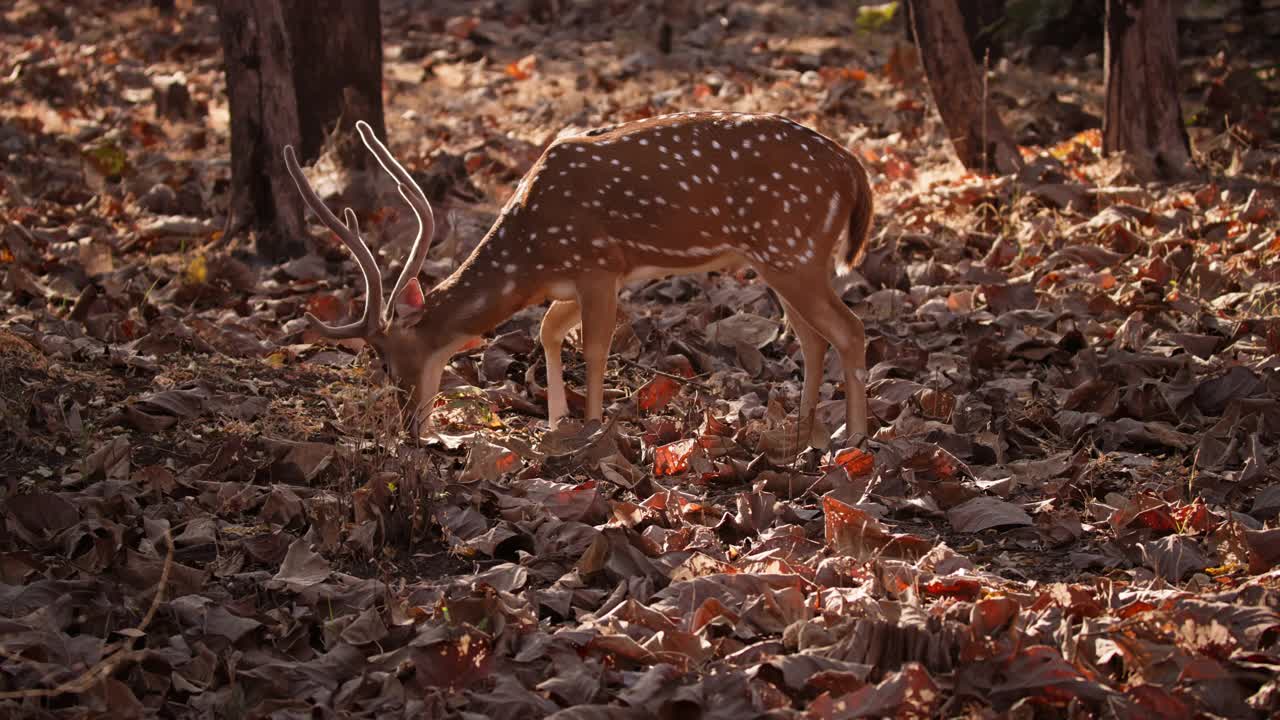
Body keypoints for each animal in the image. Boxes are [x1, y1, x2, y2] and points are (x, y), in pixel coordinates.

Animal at [285, 112, 875, 438]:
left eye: (385, 361)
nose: (409, 429)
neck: (531, 253)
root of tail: (854, 169)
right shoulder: (576, 279)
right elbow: (549, 331)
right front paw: (554, 423)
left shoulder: (598, 264)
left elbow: (593, 348)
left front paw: (591, 430)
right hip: (784, 257)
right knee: (812, 338)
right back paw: (804, 434)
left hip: (790, 247)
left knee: (849, 330)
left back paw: (853, 440)